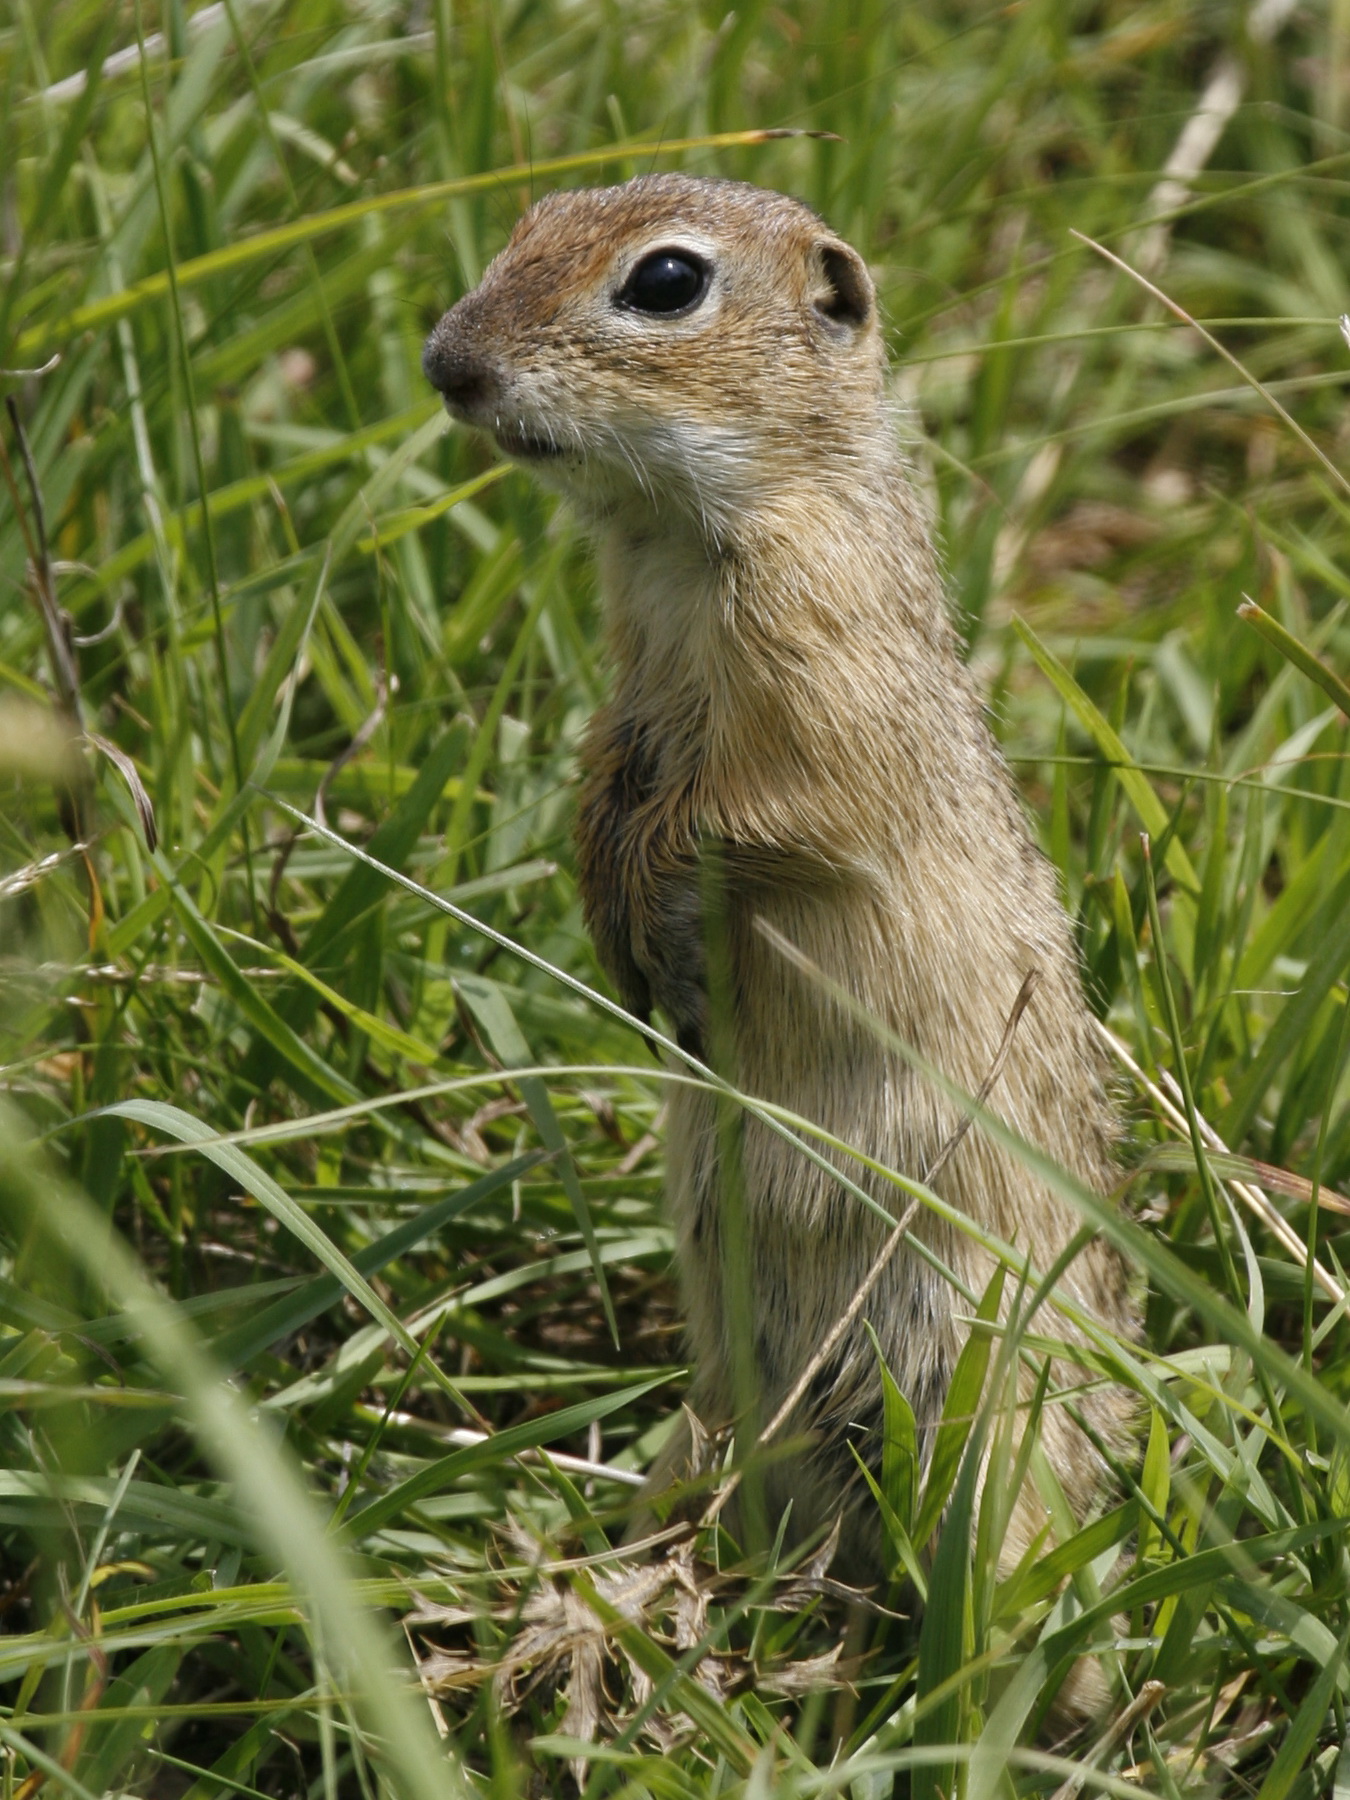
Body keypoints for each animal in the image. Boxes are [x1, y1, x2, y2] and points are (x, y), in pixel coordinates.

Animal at [423, 182, 1144, 1612]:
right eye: (532, 217)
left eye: (664, 281)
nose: (445, 365)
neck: (673, 536)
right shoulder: (629, 691)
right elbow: (608, 783)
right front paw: (618, 932)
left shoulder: (811, 681)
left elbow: (738, 821)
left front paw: (662, 943)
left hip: (978, 1405)